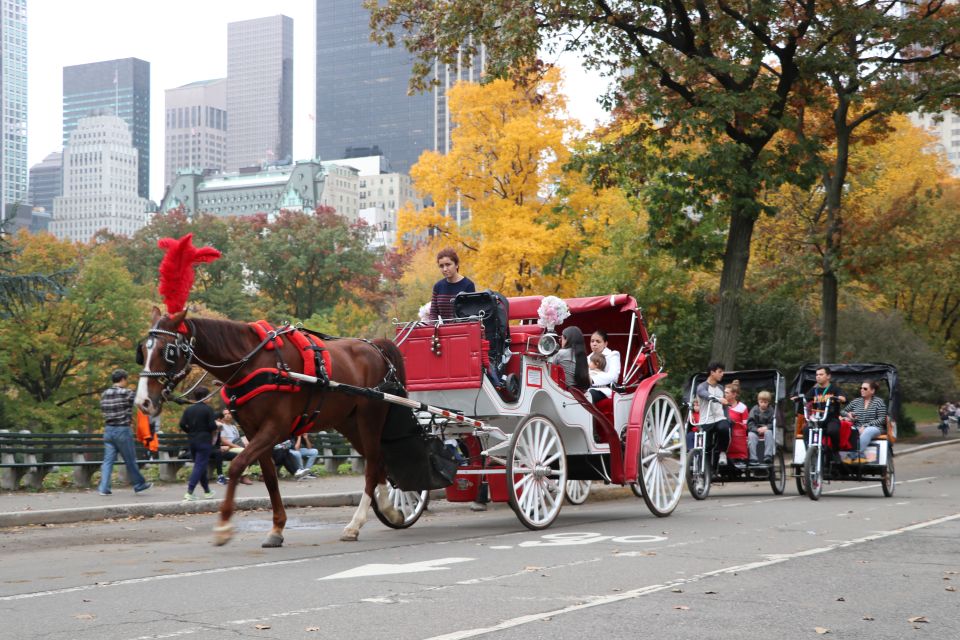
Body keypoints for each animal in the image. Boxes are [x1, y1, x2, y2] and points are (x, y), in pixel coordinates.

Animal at [134, 308, 404, 548]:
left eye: (167, 351)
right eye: (143, 351)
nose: (143, 402)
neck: (252, 363)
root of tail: (375, 347)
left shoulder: (274, 428)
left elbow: (237, 465)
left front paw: (223, 526)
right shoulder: (253, 431)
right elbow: (270, 478)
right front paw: (277, 529)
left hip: (369, 418)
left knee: (371, 464)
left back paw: (357, 523)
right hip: (348, 422)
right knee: (376, 460)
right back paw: (390, 509)